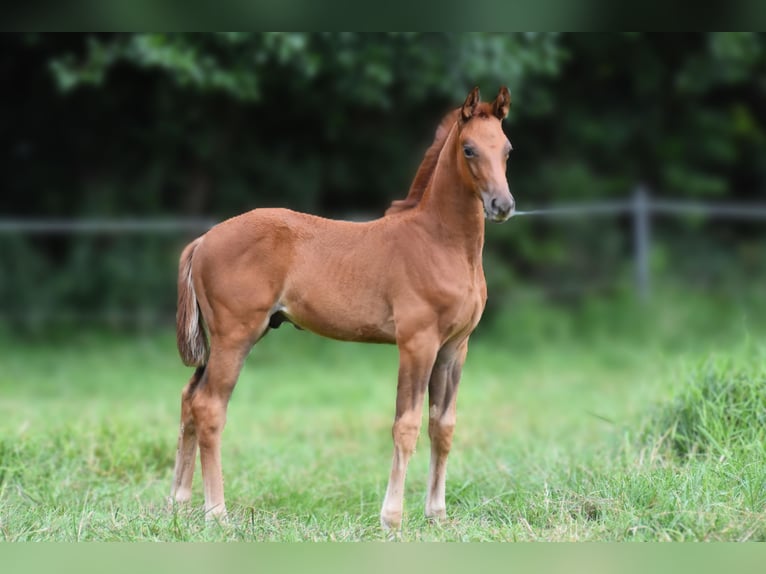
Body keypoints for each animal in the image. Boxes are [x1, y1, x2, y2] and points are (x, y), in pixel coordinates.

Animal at [169, 86, 515, 531]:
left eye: (506, 149)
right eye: (469, 149)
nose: (502, 205)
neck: (440, 243)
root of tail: (203, 240)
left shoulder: (455, 347)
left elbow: (443, 425)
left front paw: (436, 515)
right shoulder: (417, 343)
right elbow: (406, 425)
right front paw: (392, 518)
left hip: (222, 340)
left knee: (189, 399)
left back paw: (178, 503)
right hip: (235, 336)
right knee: (209, 408)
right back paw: (217, 513)